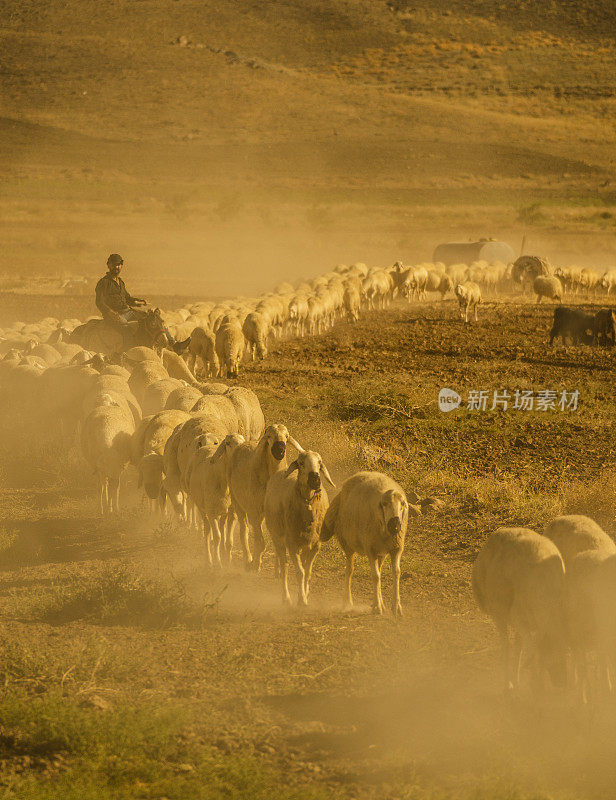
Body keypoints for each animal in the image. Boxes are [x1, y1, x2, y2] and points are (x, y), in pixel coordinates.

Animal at [262, 450, 334, 608]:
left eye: (319, 462)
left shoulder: (315, 546)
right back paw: (286, 598)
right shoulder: (292, 543)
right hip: (278, 537)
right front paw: (301, 600)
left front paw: (304, 596)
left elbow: (308, 573)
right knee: (284, 566)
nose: (315, 479)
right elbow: (300, 572)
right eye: (301, 463)